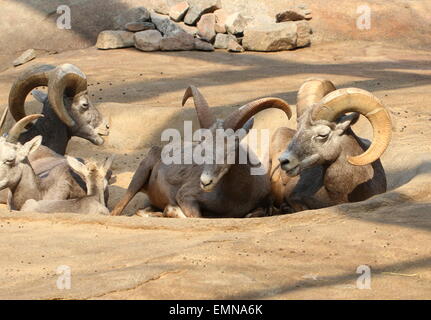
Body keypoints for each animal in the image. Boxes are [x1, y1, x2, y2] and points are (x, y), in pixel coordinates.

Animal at [111, 85, 294, 218]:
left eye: (231, 148)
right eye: (202, 148)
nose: (205, 182)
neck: (236, 197)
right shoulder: (186, 196)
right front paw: (171, 210)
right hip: (139, 175)